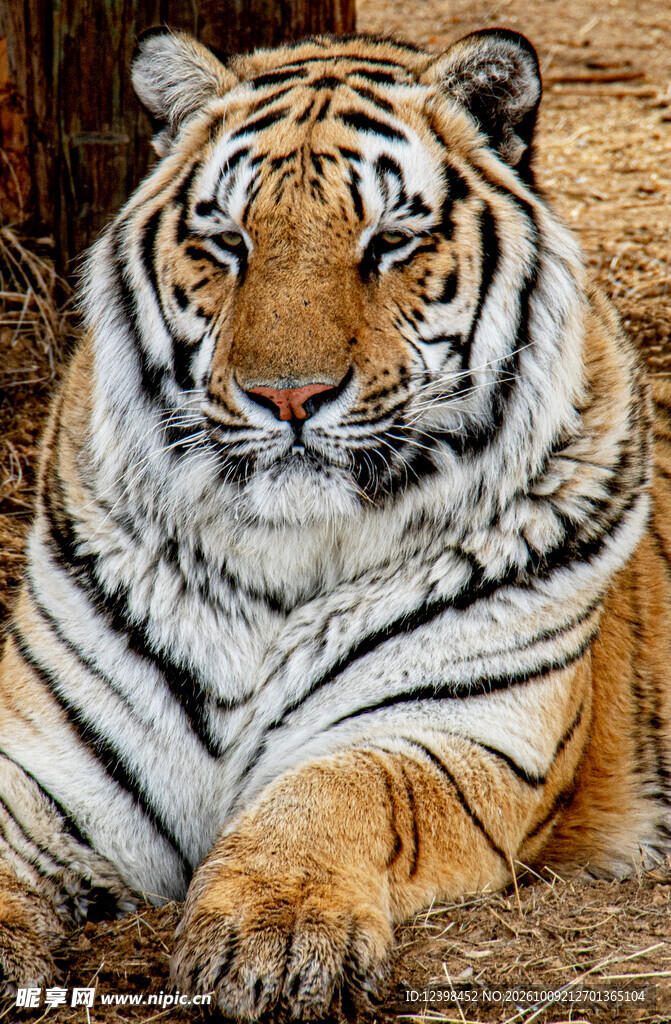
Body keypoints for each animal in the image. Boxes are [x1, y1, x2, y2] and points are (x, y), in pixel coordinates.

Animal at [0, 22, 670, 1020]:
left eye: (389, 241)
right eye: (226, 241)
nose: (288, 396)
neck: (283, 556)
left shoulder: (459, 734)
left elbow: (336, 791)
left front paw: (274, 936)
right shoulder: (48, 756)